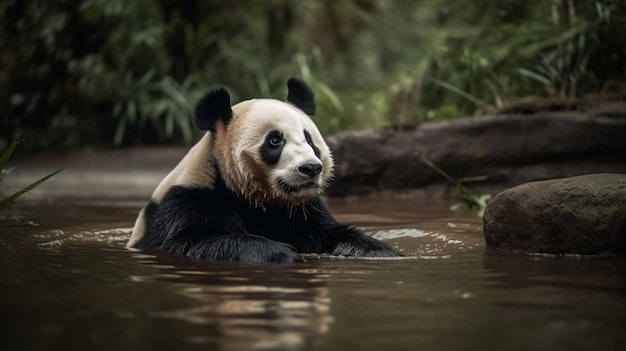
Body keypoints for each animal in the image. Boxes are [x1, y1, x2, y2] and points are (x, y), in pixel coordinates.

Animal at [126, 77, 400, 264]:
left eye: (309, 139)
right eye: (275, 141)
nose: (311, 168)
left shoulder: (302, 208)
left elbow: (328, 233)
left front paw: (378, 251)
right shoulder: (187, 201)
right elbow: (191, 241)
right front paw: (281, 253)